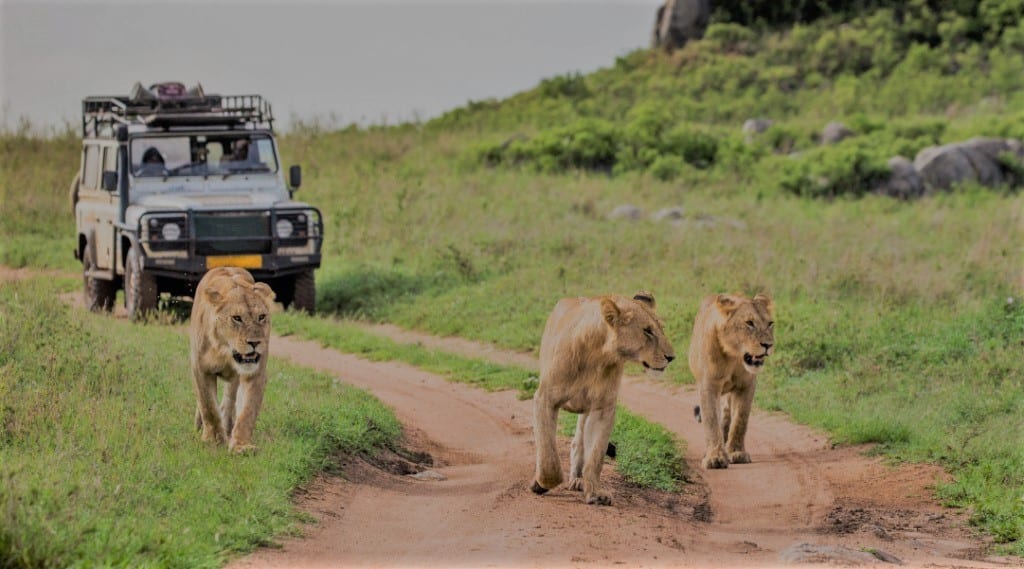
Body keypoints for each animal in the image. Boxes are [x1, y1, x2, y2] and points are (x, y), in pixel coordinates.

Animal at [189, 266, 276, 454]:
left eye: (261, 317)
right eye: (237, 318)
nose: (255, 343)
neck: (226, 351)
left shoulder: (255, 373)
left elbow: (247, 411)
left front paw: (242, 446)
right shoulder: (201, 369)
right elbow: (208, 406)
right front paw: (213, 440)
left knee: (229, 401)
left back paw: (228, 426)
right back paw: (201, 425)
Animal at [532, 290, 675, 505]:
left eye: (661, 329)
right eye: (647, 331)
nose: (671, 357)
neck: (598, 355)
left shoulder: (602, 408)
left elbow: (596, 456)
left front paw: (595, 493)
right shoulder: (545, 399)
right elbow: (548, 453)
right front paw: (541, 484)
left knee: (579, 442)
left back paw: (578, 479)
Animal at [688, 290, 774, 468]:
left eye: (770, 323)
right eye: (749, 323)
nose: (768, 345)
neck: (734, 356)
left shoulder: (746, 385)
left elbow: (740, 420)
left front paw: (736, 452)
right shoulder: (708, 385)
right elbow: (711, 420)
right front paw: (715, 457)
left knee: (727, 414)